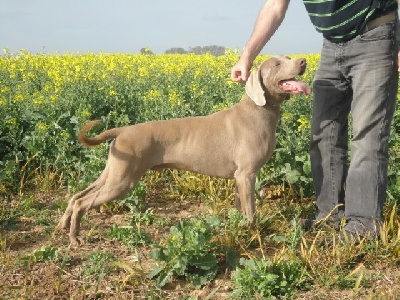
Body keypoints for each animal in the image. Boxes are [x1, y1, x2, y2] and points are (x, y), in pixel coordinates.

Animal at [58, 56, 310, 246]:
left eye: (288, 58)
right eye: (276, 64)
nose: (303, 61)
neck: (259, 110)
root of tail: (122, 131)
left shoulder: (240, 177)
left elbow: (241, 208)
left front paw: (238, 228)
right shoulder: (246, 174)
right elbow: (251, 212)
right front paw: (253, 235)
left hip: (113, 171)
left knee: (77, 196)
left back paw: (63, 225)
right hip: (123, 179)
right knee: (82, 202)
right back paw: (74, 238)